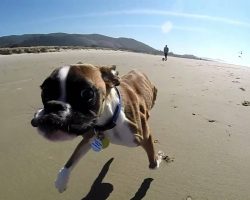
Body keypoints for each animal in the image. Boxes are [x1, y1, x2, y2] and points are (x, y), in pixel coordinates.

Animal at [30, 64, 162, 192]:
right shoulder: (90, 136)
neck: (109, 119)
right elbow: (73, 157)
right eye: (44, 90)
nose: (53, 105)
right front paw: (62, 180)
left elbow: (153, 163)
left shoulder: (144, 137)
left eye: (87, 93)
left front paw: (159, 158)